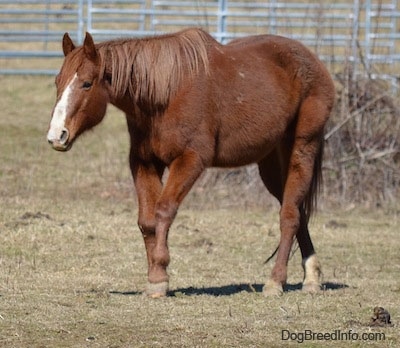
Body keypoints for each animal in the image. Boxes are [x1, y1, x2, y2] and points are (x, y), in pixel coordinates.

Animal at [47, 28, 334, 298]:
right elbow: (147, 220)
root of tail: (314, 62)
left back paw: (276, 281)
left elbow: (164, 210)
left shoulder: (190, 160)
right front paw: (156, 276)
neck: (165, 93)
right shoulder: (144, 162)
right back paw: (312, 276)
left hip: (302, 149)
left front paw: (159, 275)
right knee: (297, 210)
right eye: (57, 81)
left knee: (289, 216)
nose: (56, 135)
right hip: (271, 165)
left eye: (86, 84)